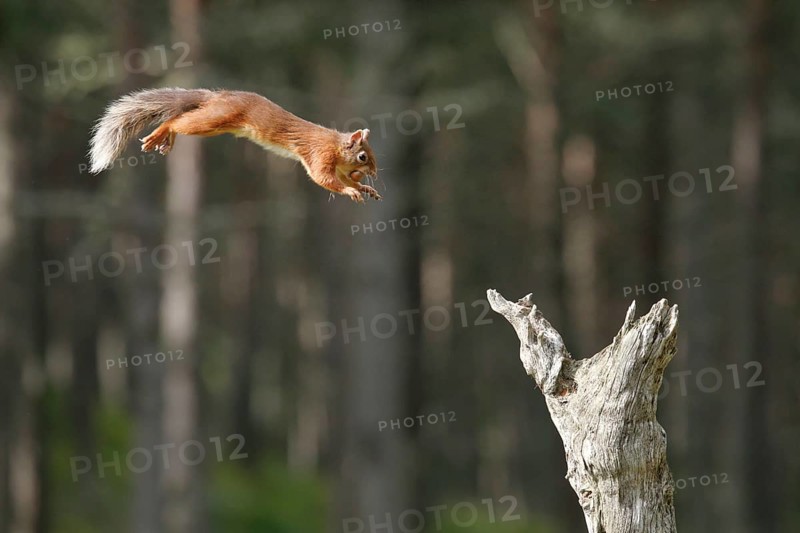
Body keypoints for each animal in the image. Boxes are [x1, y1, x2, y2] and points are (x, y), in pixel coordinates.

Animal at [88, 88, 381, 203]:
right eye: (363, 157)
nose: (375, 174)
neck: (336, 145)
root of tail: (218, 96)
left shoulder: (338, 166)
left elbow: (343, 178)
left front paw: (364, 188)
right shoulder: (320, 155)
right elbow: (324, 179)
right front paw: (351, 191)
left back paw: (166, 139)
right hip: (215, 119)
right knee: (177, 121)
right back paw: (163, 132)